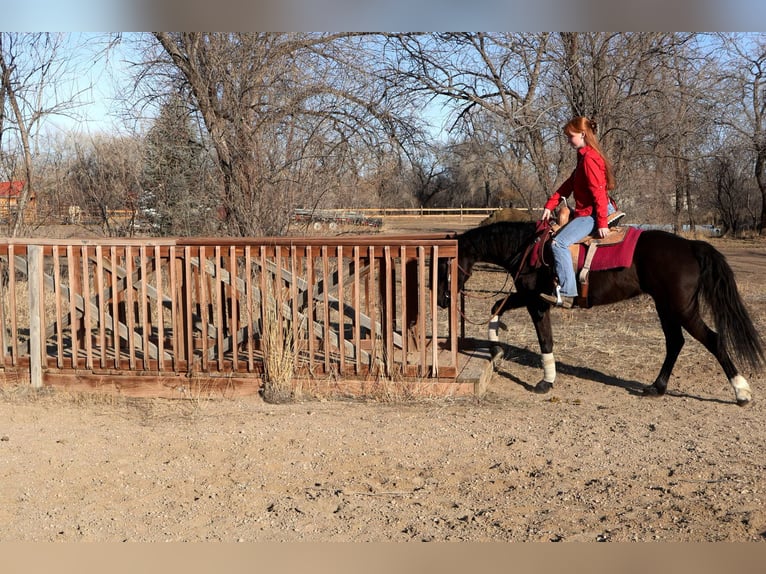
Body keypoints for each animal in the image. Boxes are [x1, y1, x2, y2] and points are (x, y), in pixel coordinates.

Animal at [440, 220, 764, 404]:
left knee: (713, 340)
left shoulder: (538, 302)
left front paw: (546, 381)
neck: (526, 248)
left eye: (446, 264)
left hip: (681, 308)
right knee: (675, 343)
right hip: (666, 307)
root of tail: (691, 246)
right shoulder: (528, 296)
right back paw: (656, 387)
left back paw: (741, 392)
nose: (443, 300)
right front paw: (495, 347)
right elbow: (497, 307)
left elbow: (545, 340)